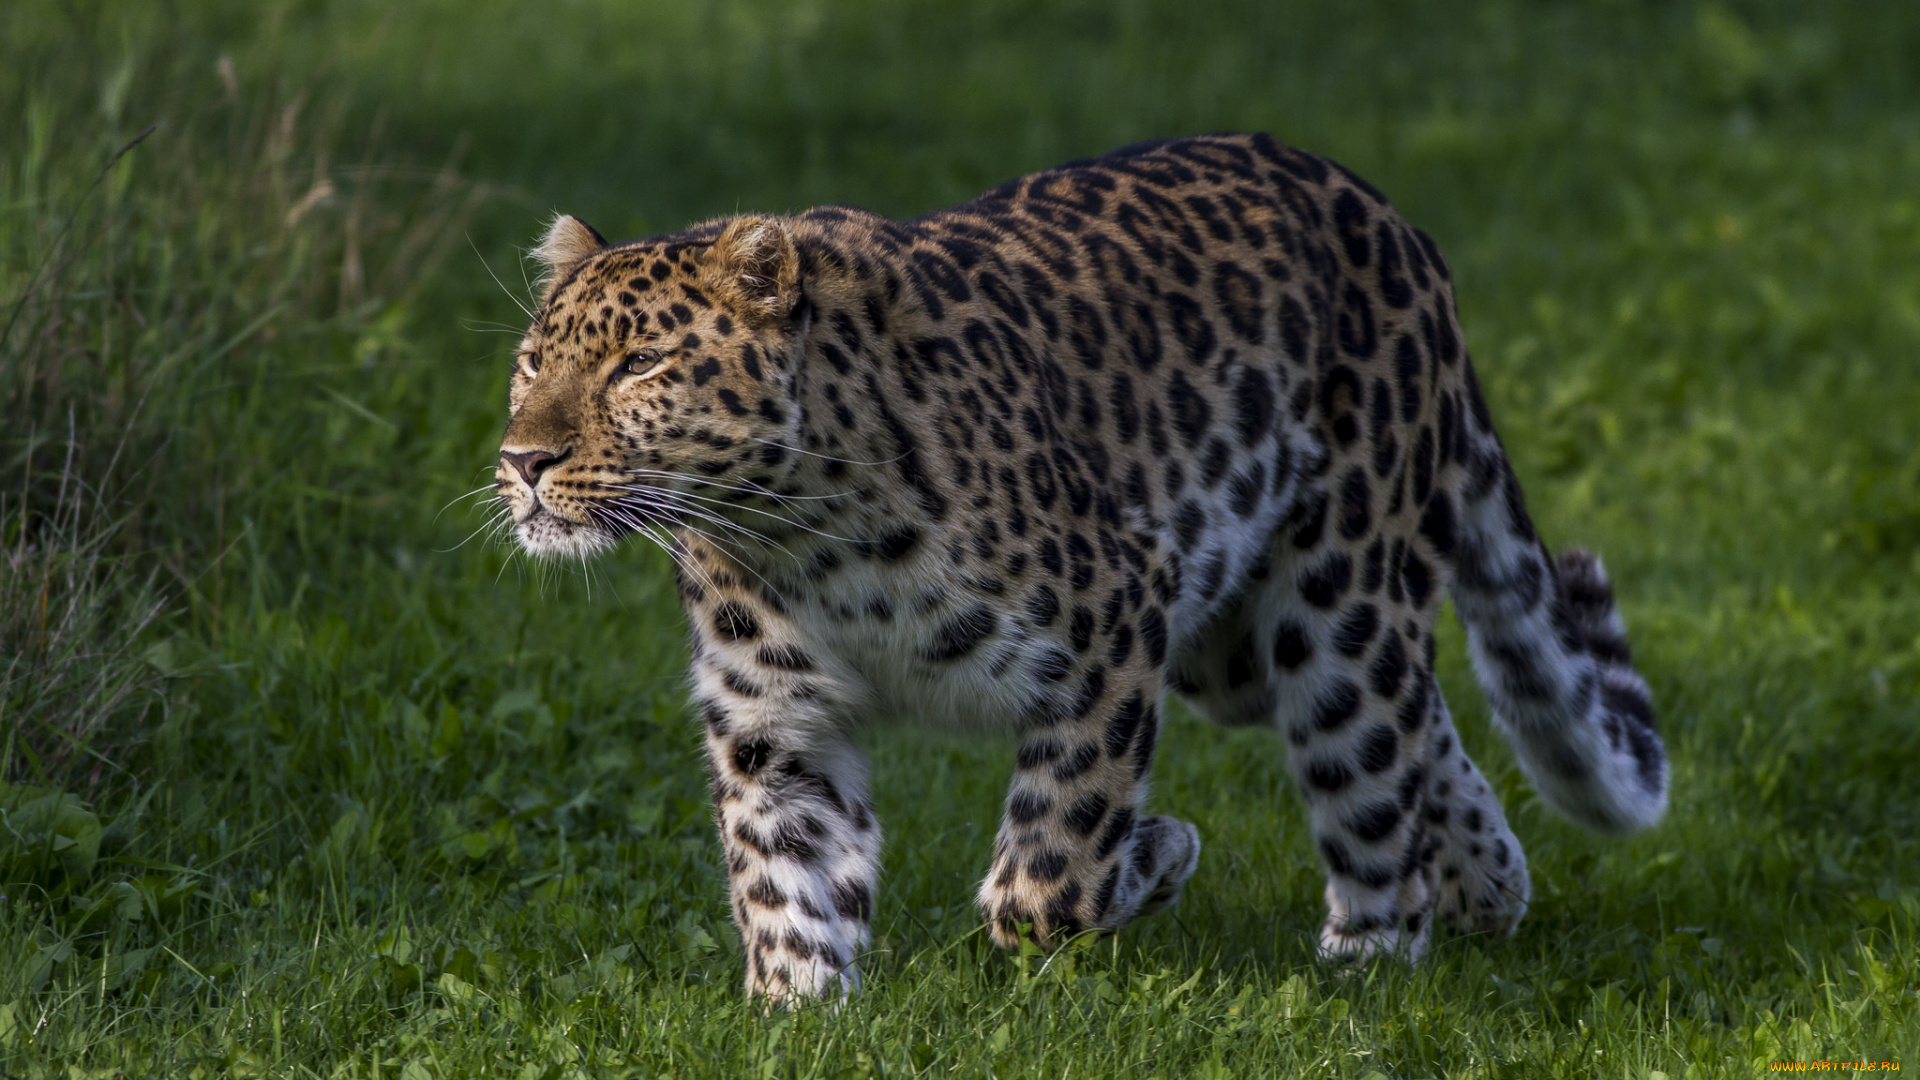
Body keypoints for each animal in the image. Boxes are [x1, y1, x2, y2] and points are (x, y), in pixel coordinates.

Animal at [493, 133, 1668, 1002]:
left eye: (641, 364)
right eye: (533, 361)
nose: (521, 461)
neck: (791, 532)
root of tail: (1396, 222)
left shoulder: (1113, 617)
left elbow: (1050, 874)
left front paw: (1160, 853)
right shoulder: (776, 721)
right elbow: (787, 882)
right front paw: (801, 1015)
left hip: (1334, 598)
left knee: (1369, 753)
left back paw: (1369, 959)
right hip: (1232, 648)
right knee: (1423, 718)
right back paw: (1490, 882)